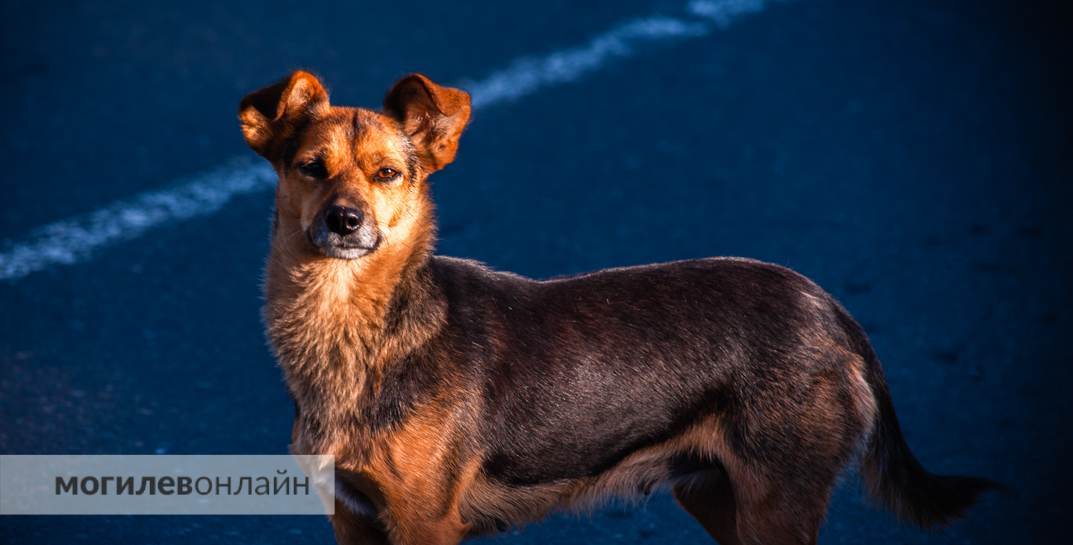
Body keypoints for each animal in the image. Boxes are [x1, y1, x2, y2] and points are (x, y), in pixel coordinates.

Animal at [239, 72, 991, 545]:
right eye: (310, 167)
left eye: (388, 174)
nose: (344, 221)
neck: (357, 331)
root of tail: (830, 307)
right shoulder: (353, 519)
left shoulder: (424, 525)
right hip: (717, 495)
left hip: (777, 502)